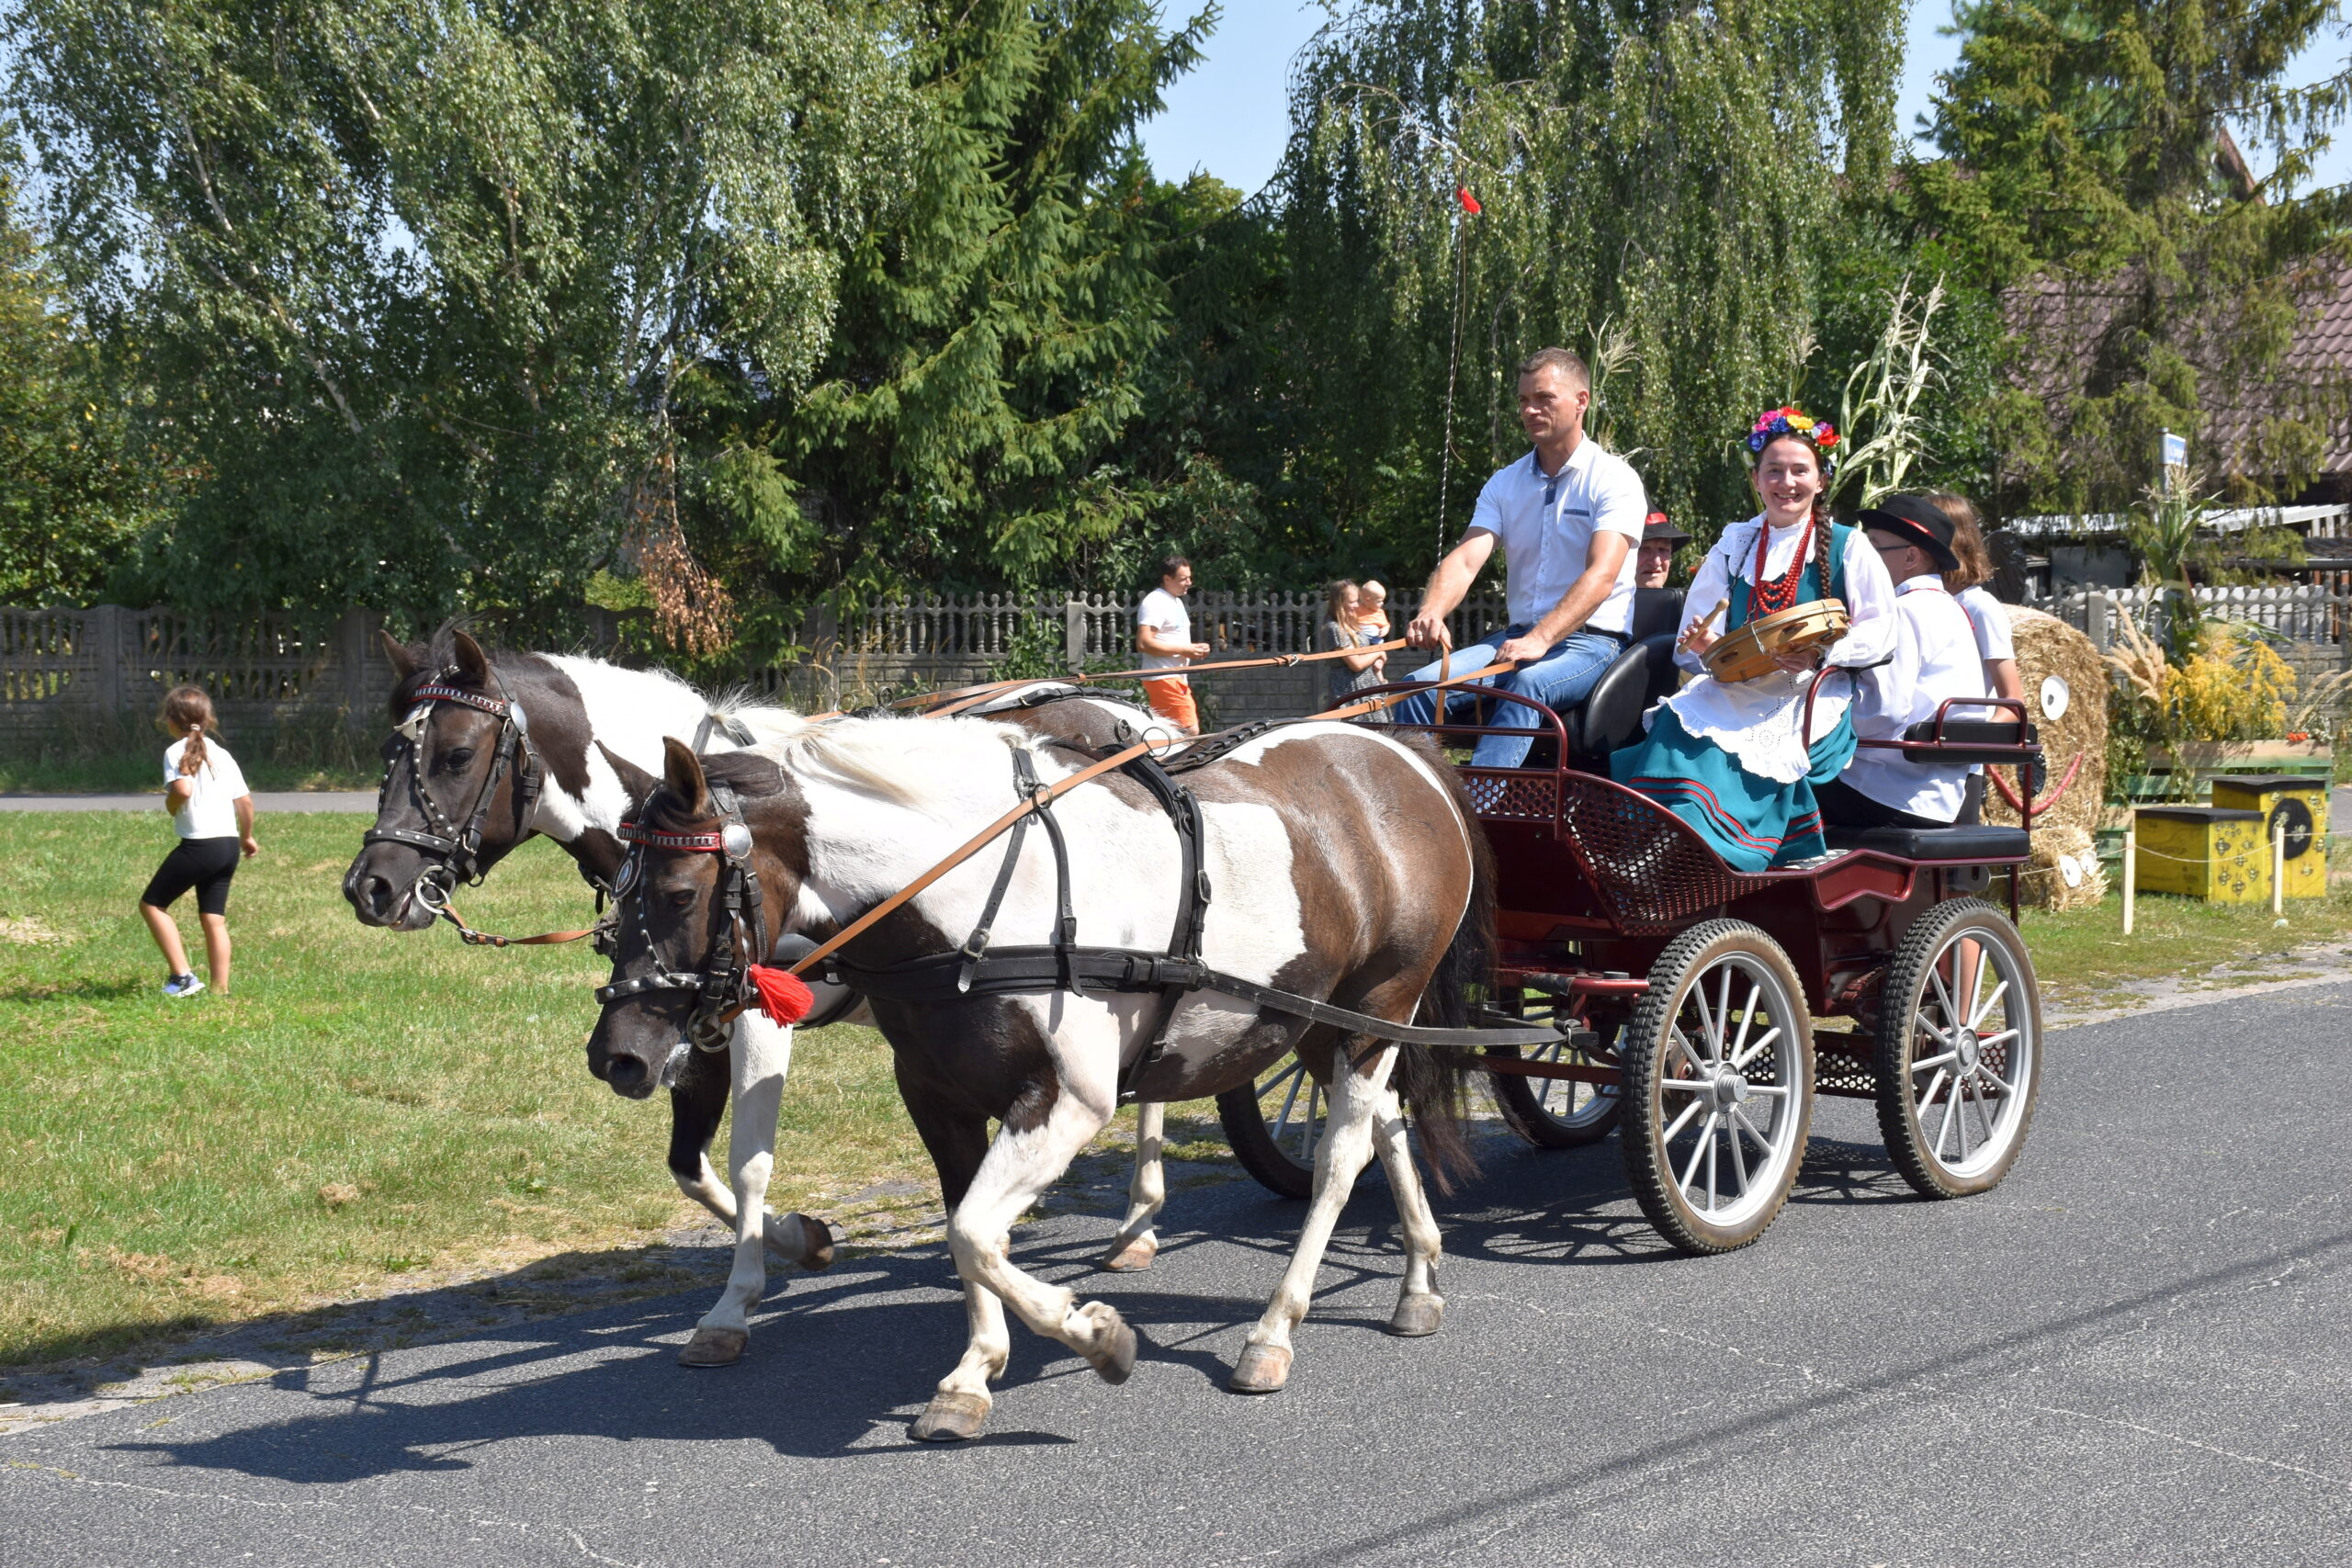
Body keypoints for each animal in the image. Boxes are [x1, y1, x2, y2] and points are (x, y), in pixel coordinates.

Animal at [341, 629, 1180, 1367]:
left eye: (455, 754)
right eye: (388, 754)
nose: (370, 886)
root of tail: (1130, 716)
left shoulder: (756, 1020)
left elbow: (747, 1161)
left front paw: (734, 1302)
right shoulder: (687, 1020)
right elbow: (690, 1163)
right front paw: (796, 1238)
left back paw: (1138, 1219)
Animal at [586, 713, 1492, 1440]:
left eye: (678, 891)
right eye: (610, 894)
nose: (614, 1054)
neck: (976, 902)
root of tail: (1397, 750)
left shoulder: (1068, 1101)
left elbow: (973, 1233)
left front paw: (1094, 1335)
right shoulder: (936, 1097)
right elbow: (967, 1231)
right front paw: (975, 1371)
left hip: (1379, 1002)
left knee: (1341, 1157)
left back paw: (1273, 1329)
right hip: (1318, 1020)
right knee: (1388, 1123)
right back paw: (1418, 1277)